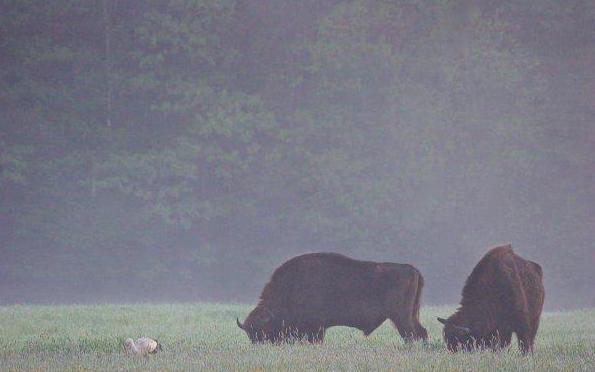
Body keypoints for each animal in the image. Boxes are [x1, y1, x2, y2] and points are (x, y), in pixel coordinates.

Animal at [235, 253, 426, 342]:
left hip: (401, 318)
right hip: (410, 316)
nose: (260, 345)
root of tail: (412, 269)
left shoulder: (316, 328)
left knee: (412, 335)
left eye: (263, 332)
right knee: (421, 333)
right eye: (251, 336)